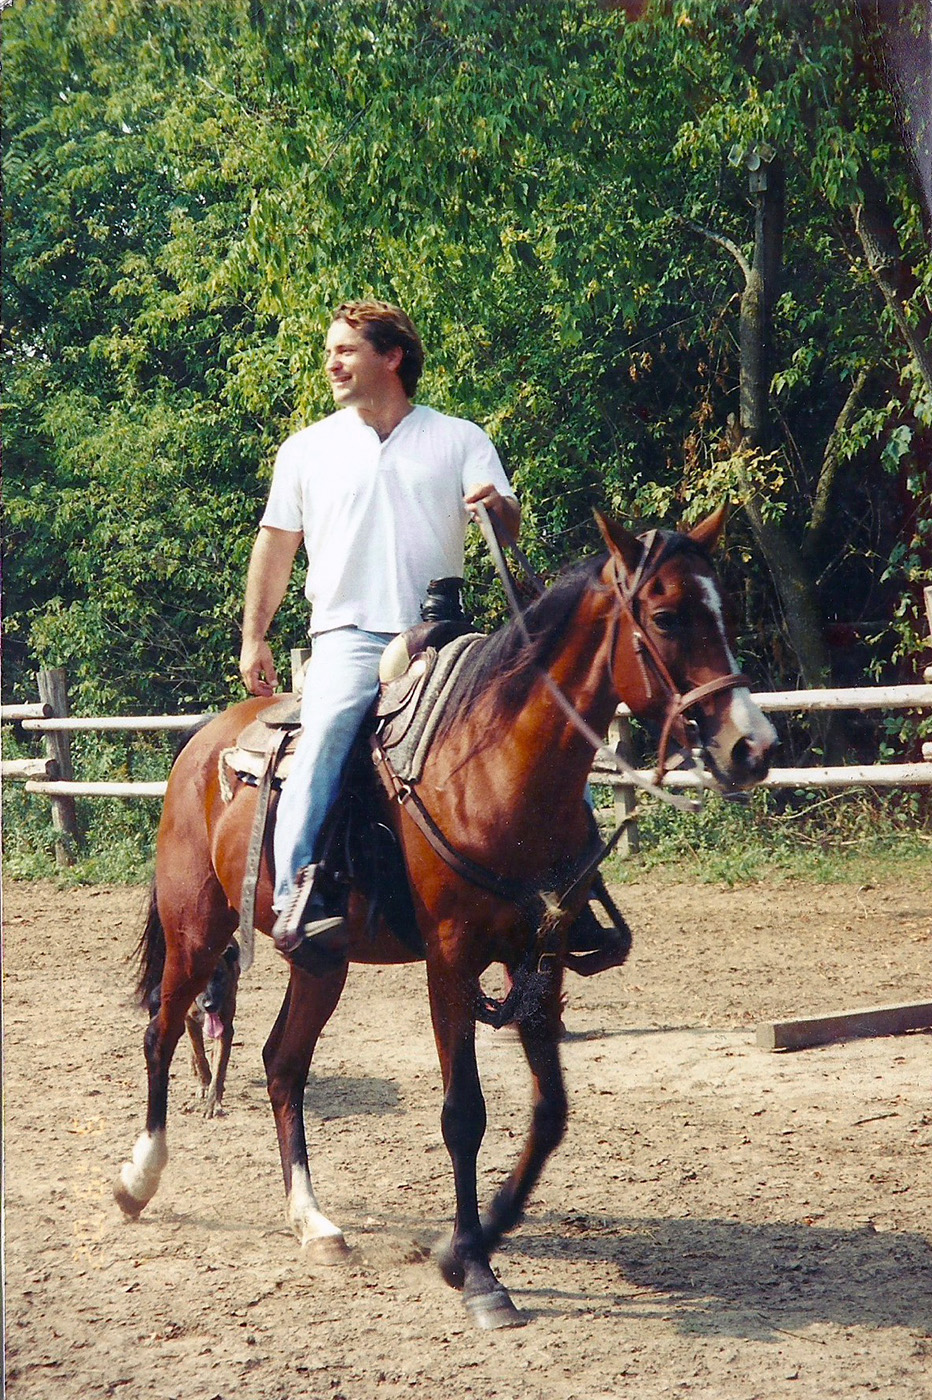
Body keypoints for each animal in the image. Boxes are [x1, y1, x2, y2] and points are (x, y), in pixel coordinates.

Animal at [112, 509, 772, 1327]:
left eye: (725, 610)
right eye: (667, 615)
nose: (752, 746)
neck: (492, 768)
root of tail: (202, 742)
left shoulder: (539, 958)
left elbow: (550, 1112)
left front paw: (467, 1245)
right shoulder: (450, 959)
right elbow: (464, 1113)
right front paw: (481, 1275)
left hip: (320, 961)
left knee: (282, 1064)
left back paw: (313, 1222)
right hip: (196, 931)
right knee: (163, 1032)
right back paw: (138, 1179)